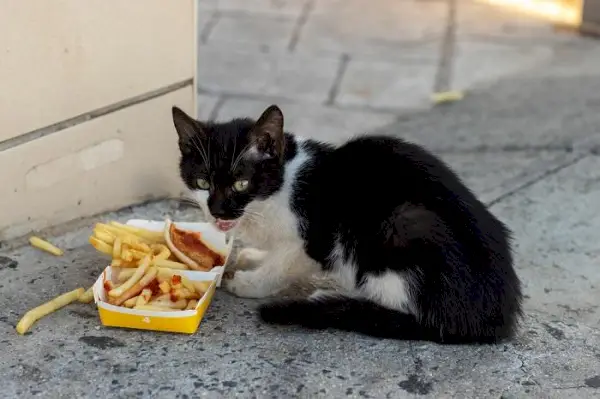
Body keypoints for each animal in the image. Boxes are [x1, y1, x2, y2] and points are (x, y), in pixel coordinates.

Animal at [171, 104, 524, 346]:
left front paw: (250, 283)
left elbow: (283, 265)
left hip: (400, 226)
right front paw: (252, 257)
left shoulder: (317, 238)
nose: (218, 211)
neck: (282, 185)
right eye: (202, 182)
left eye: (242, 184)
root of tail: (492, 318)